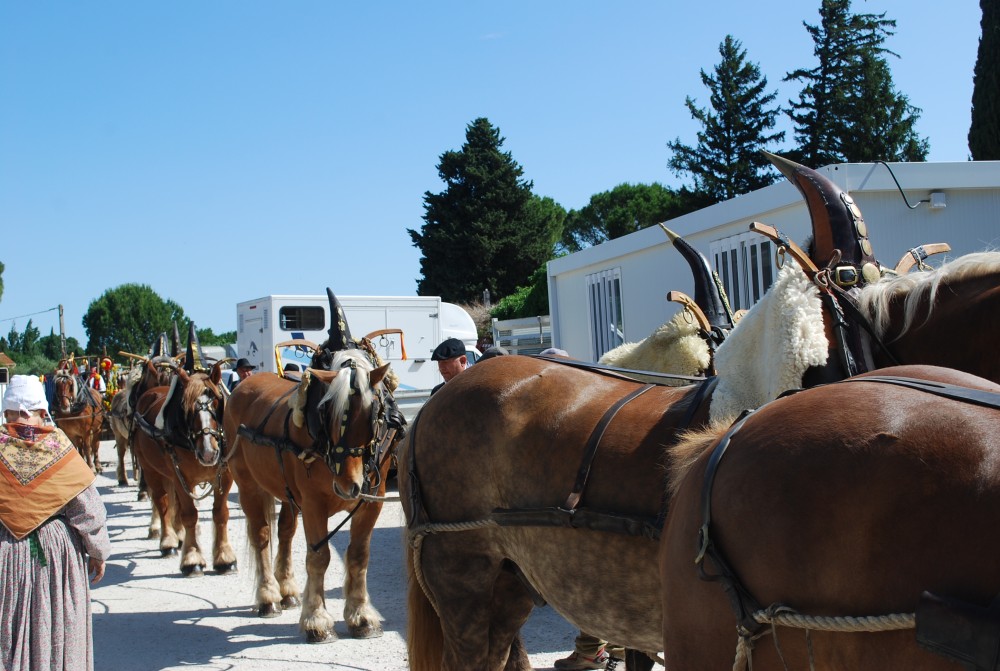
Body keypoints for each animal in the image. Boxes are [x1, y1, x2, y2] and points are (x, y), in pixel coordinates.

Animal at [130, 362, 237, 576]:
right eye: (187, 408)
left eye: (216, 402)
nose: (208, 452)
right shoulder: (180, 477)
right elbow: (189, 515)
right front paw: (192, 558)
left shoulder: (225, 476)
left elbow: (220, 513)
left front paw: (224, 558)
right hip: (152, 470)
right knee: (162, 502)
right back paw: (168, 541)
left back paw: (179, 536)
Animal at [225, 350, 396, 644]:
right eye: (327, 413)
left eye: (372, 414)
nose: (348, 485)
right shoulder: (314, 504)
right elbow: (319, 558)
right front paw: (317, 621)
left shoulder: (371, 502)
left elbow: (359, 556)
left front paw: (361, 616)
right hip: (248, 485)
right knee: (261, 536)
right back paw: (268, 597)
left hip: (287, 493)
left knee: (284, 532)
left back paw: (287, 592)